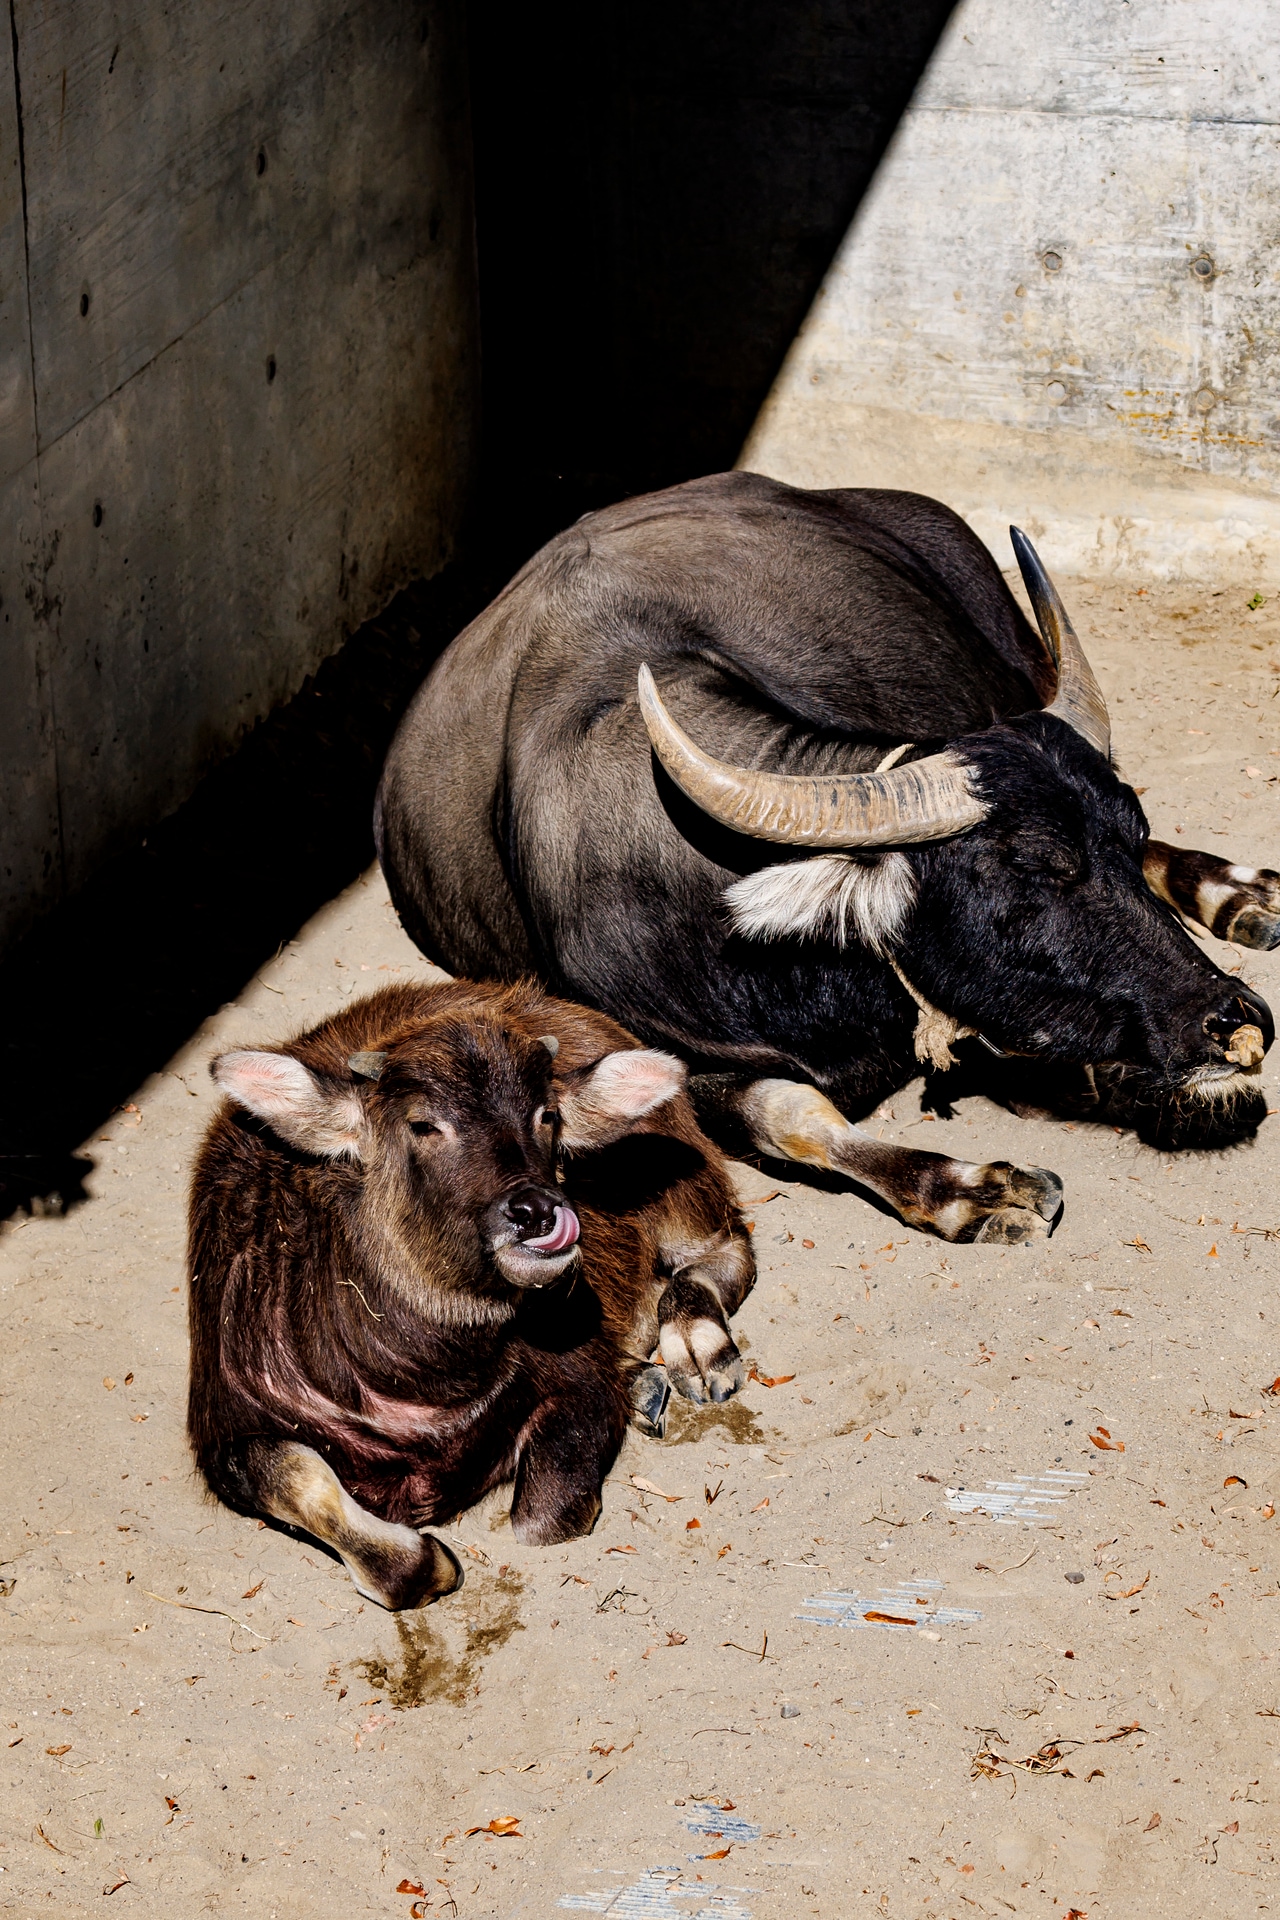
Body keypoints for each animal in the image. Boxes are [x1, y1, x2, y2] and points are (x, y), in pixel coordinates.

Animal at [189, 975, 752, 1605]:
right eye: (422, 1124)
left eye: (547, 1115)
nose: (536, 1212)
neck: (424, 1380)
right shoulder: (227, 1437)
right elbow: (297, 1480)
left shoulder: (579, 1380)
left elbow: (543, 1518)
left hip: (686, 1196)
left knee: (724, 1253)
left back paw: (700, 1352)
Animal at [376, 472, 1274, 1236]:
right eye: (1031, 867)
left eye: (1123, 834)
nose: (1236, 1020)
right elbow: (792, 1116)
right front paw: (971, 1191)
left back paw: (1240, 893)